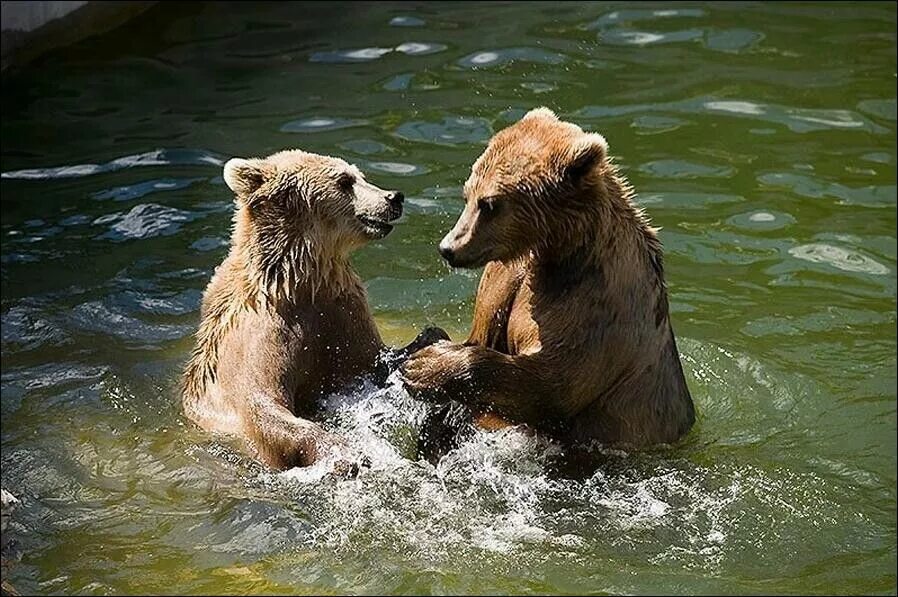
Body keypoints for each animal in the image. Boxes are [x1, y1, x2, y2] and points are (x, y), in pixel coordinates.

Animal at [183, 149, 448, 470]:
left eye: (360, 175)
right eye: (345, 181)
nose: (394, 197)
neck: (300, 280)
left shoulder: (340, 311)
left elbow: (375, 360)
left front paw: (430, 354)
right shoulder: (255, 335)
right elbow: (262, 403)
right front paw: (345, 452)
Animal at [402, 107, 696, 456]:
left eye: (489, 203)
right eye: (467, 194)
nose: (449, 248)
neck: (559, 254)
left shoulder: (596, 307)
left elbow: (551, 385)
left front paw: (424, 366)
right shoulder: (510, 277)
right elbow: (484, 331)